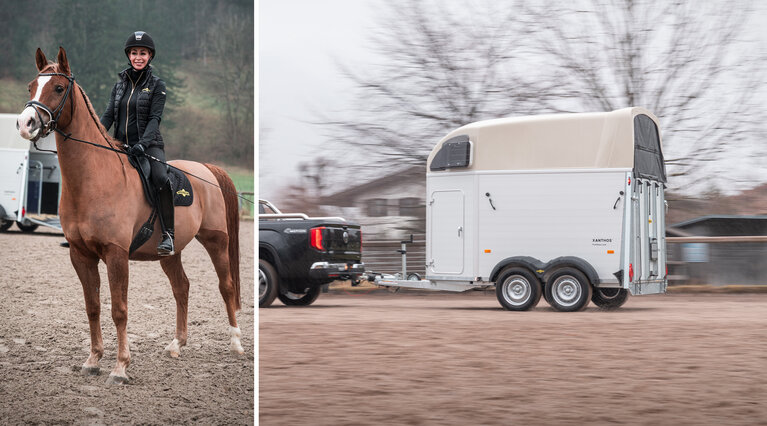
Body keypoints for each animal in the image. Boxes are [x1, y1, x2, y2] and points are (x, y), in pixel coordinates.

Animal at [15, 48, 243, 384]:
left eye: (58, 88)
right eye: (32, 86)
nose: (25, 123)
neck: (95, 178)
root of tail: (206, 169)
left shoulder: (116, 254)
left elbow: (119, 309)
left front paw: (121, 367)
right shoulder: (80, 255)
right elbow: (93, 306)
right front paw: (93, 360)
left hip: (216, 241)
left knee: (225, 286)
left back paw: (236, 343)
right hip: (169, 253)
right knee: (182, 287)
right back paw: (177, 344)